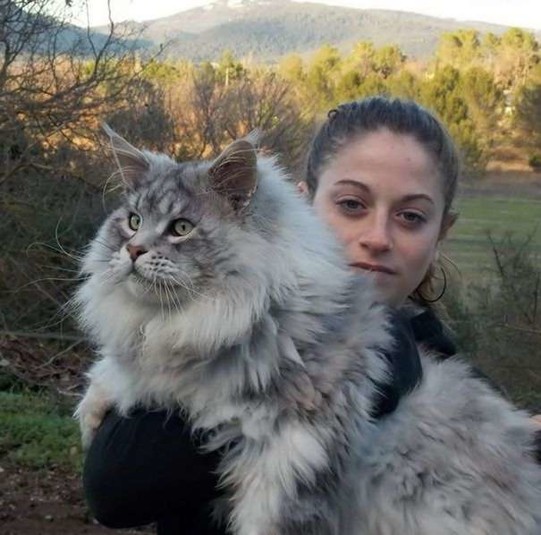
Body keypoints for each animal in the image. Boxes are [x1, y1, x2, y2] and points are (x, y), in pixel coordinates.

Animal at [75, 128, 541, 535]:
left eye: (181, 228)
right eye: (133, 220)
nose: (133, 250)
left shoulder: (291, 453)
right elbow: (120, 371)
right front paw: (94, 410)